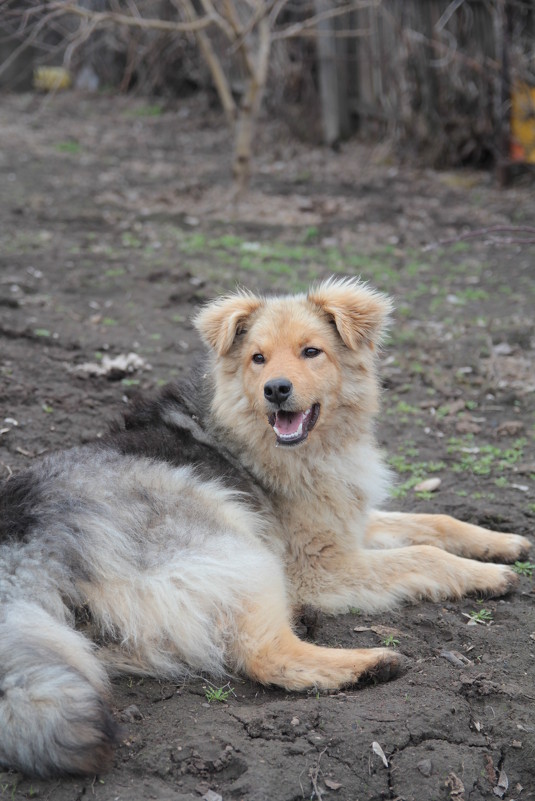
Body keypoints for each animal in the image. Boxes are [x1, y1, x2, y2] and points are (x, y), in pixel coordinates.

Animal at [0, 276, 532, 776]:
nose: (276, 389)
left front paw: (503, 542)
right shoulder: (321, 565)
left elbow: (436, 521)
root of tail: (27, 537)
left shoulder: (345, 522)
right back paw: (370, 663)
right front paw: (490, 576)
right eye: (258, 358)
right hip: (240, 552)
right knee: (262, 655)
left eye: (311, 351)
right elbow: (425, 554)